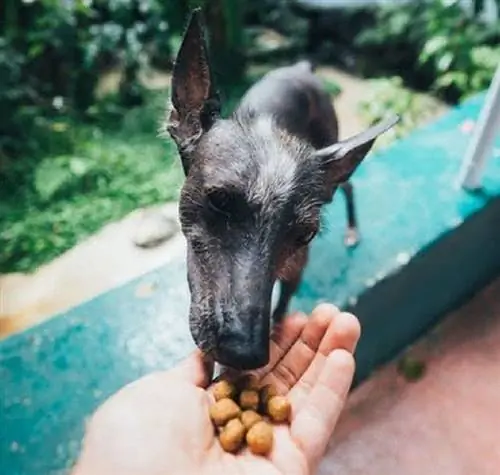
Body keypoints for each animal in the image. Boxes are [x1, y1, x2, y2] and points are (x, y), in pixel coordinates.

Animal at [166, 8, 400, 372]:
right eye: (219, 200)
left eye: (306, 234)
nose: (245, 354)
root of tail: (301, 68)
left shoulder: (295, 271)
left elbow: (280, 310)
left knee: (347, 187)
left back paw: (352, 229)